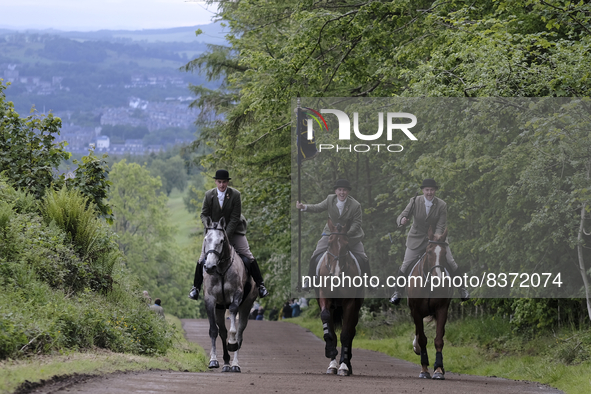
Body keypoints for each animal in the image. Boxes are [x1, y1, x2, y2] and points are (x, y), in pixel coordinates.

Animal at [201, 215, 256, 372]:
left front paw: (232, 343)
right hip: (219, 309)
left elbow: (234, 329)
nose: (209, 267)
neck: (221, 270)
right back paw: (226, 363)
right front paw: (213, 360)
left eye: (221, 241)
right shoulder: (210, 301)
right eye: (206, 239)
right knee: (222, 332)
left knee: (240, 332)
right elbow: (214, 331)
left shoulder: (236, 297)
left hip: (246, 306)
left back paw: (235, 364)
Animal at [316, 219, 364, 376]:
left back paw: (347, 364)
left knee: (351, 331)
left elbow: (345, 334)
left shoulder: (349, 303)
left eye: (347, 245)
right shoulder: (324, 296)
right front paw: (330, 352)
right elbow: (327, 322)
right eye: (329, 244)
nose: (335, 274)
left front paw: (343, 366)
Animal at [408, 226, 454, 380]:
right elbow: (422, 339)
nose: (437, 278)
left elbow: (439, 339)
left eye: (445, 253)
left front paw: (438, 369)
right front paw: (424, 370)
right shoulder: (416, 311)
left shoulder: (442, 310)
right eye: (429, 252)